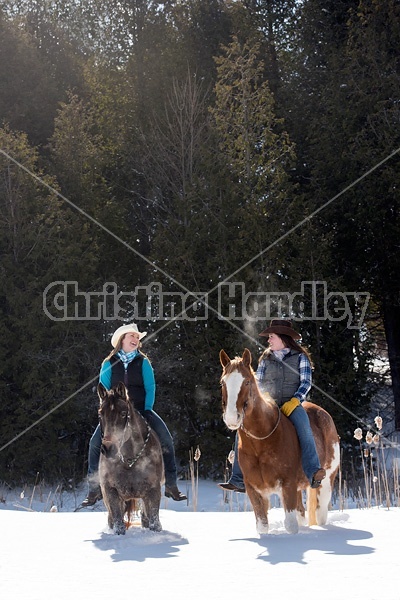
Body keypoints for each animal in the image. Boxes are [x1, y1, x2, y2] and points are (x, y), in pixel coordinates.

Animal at [97, 382, 165, 532]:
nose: (108, 449)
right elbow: (118, 525)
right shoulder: (110, 492)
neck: (129, 461)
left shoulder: (153, 491)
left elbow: (154, 523)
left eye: (123, 414)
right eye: (100, 414)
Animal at [220, 346, 340, 536]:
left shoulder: (288, 485)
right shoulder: (255, 490)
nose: (232, 418)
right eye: (223, 383)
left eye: (247, 382)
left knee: (320, 513)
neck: (261, 442)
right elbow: (262, 526)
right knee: (302, 514)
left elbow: (291, 526)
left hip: (327, 480)